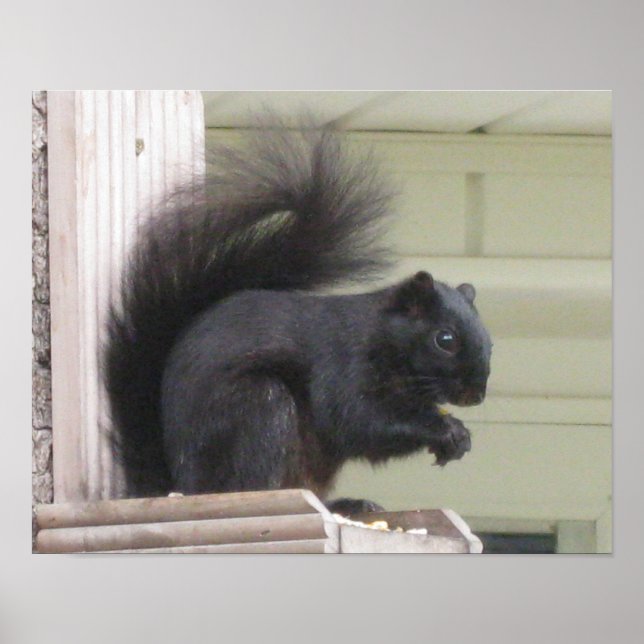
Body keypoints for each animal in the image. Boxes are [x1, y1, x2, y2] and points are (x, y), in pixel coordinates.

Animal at [104, 119, 492, 515]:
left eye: (489, 341)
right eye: (444, 339)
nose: (475, 395)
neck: (382, 339)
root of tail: (184, 487)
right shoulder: (341, 368)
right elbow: (360, 422)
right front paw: (446, 430)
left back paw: (347, 505)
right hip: (259, 410)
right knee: (255, 481)